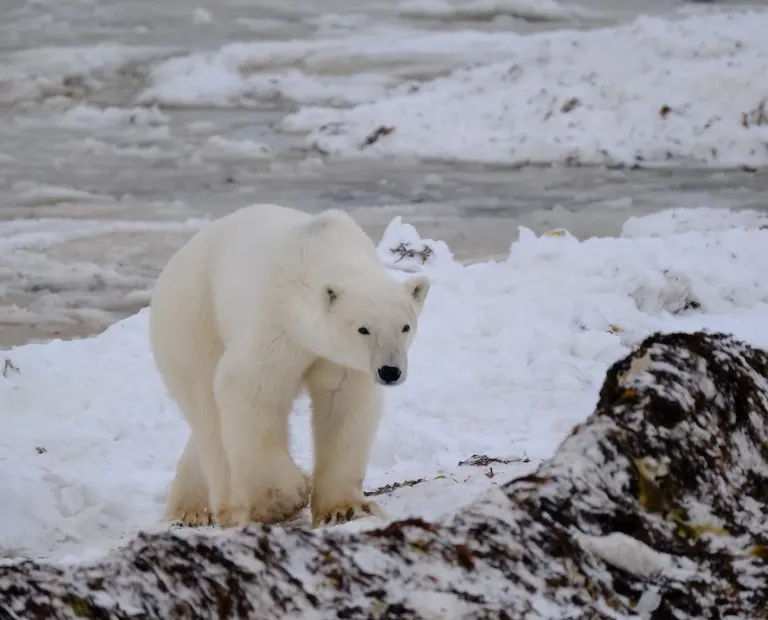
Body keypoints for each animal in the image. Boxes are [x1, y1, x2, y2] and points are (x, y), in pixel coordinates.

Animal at [149, 203, 430, 529]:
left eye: (405, 326)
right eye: (363, 329)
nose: (390, 371)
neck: (319, 250)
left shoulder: (338, 358)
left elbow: (343, 404)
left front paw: (344, 509)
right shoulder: (275, 324)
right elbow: (249, 390)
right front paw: (284, 499)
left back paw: (191, 507)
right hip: (193, 322)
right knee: (207, 408)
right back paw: (220, 508)